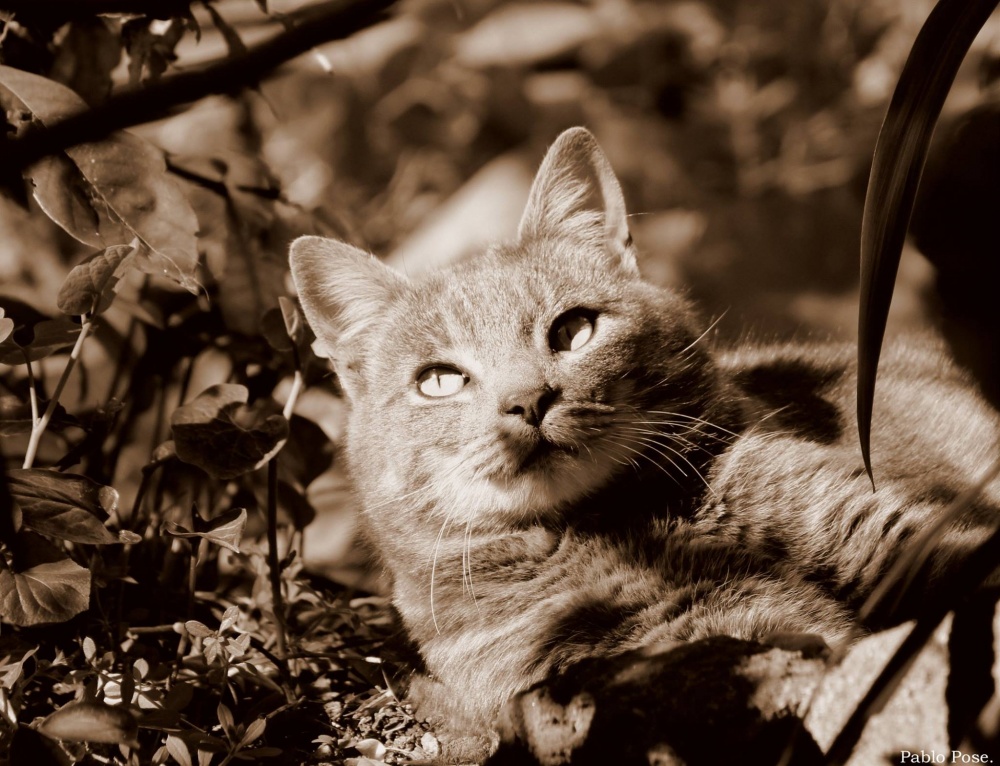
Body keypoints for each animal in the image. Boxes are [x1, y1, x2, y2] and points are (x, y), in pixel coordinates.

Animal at [288, 129, 1000, 764]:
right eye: (439, 381)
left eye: (573, 329)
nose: (528, 401)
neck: (611, 527)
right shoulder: (695, 643)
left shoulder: (887, 529)